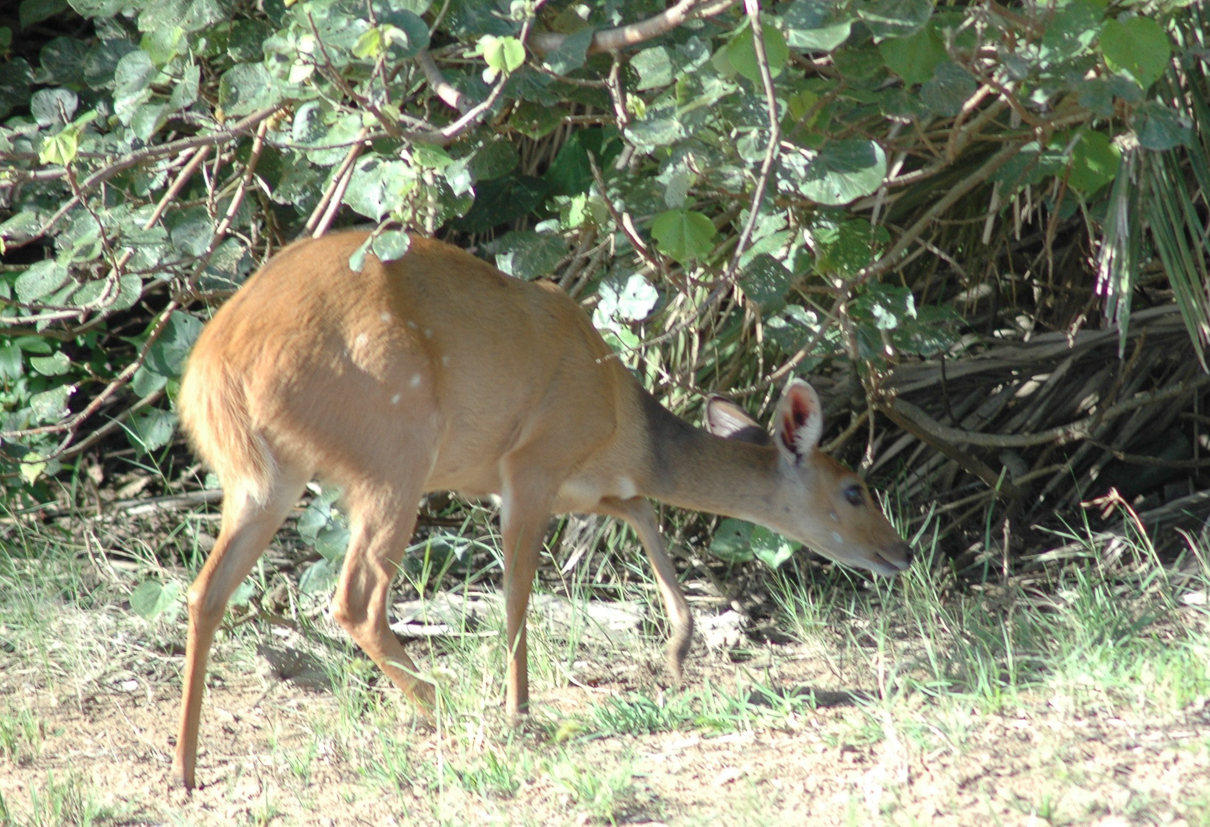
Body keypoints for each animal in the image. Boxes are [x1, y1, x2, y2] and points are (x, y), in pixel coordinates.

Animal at [172, 230, 911, 790]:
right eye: (854, 488)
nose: (900, 552)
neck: (624, 425)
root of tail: (213, 370)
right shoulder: (532, 463)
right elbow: (519, 593)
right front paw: (521, 710)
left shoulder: (582, 482)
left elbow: (641, 513)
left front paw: (676, 651)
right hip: (396, 443)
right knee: (355, 598)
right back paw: (448, 704)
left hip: (267, 477)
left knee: (206, 590)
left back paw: (185, 768)